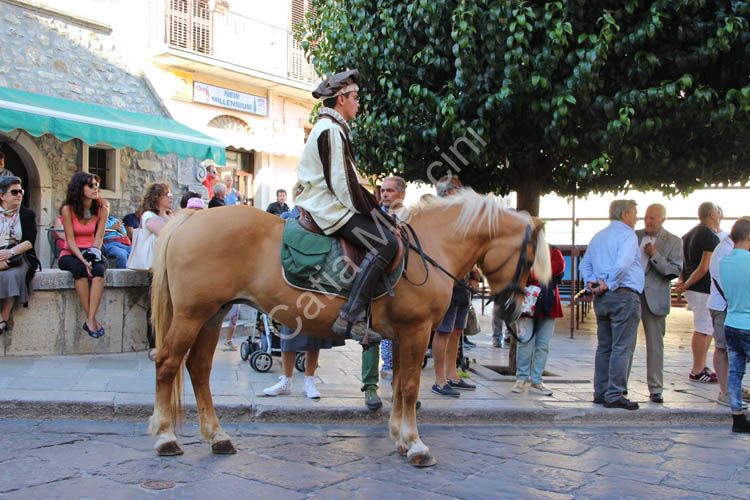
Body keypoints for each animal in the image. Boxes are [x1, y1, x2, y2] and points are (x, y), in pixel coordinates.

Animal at [150, 189, 556, 466]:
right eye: (528, 259)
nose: (517, 308)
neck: (430, 249)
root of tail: (191, 218)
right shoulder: (417, 331)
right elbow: (410, 387)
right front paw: (415, 444)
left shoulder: (403, 336)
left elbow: (399, 386)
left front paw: (400, 437)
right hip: (191, 315)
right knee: (168, 364)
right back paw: (165, 437)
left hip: (212, 314)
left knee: (198, 368)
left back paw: (216, 436)